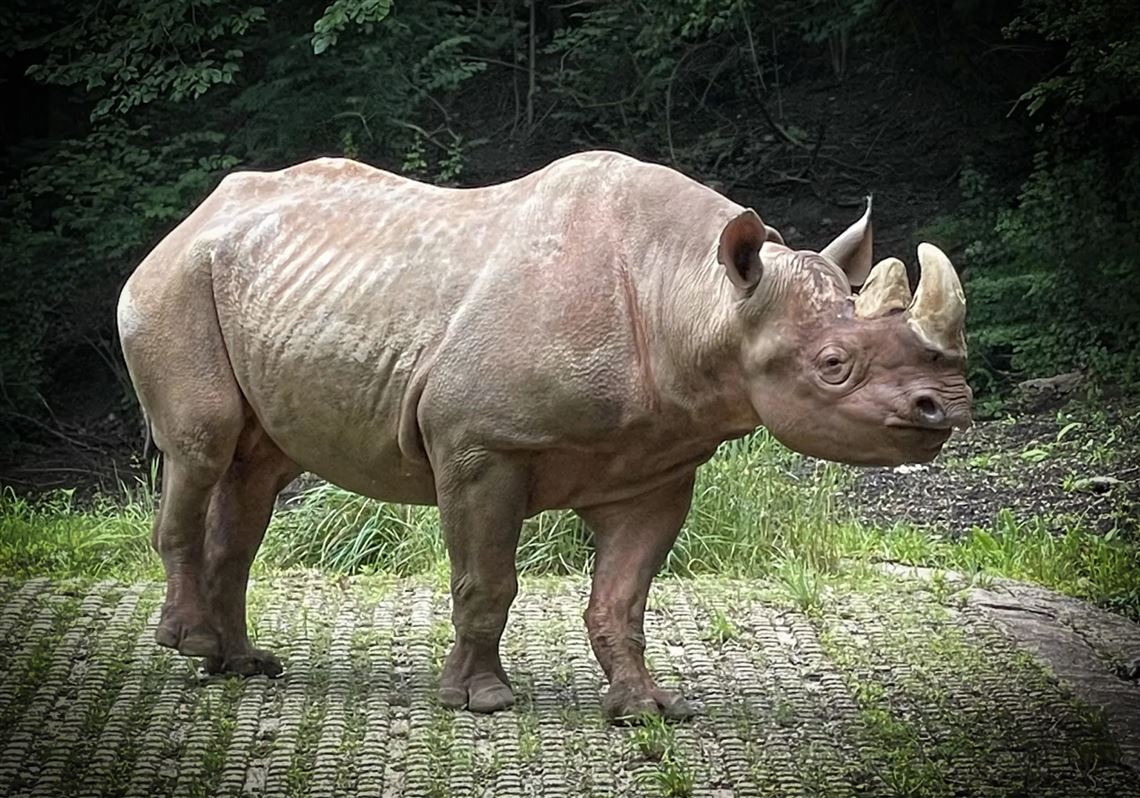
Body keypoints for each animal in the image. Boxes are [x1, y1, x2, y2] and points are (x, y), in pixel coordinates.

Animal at [117, 151, 972, 720]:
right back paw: (188, 646)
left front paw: (646, 709)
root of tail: (191, 218)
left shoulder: (657, 465)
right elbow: (486, 581)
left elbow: (623, 597)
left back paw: (242, 665)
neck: (697, 295)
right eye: (833, 366)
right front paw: (483, 701)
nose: (950, 407)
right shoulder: (481, 443)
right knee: (202, 444)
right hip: (175, 284)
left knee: (257, 472)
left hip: (256, 287)